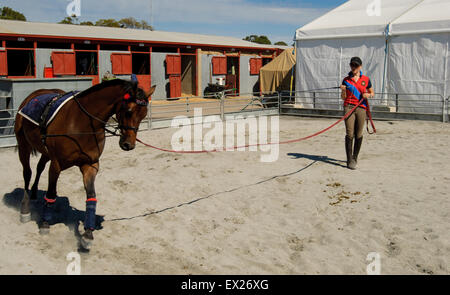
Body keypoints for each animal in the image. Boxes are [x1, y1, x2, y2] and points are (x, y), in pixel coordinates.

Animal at [14, 78, 156, 250]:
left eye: (143, 115)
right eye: (128, 111)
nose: (128, 144)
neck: (82, 123)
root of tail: (34, 94)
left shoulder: (90, 165)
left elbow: (91, 196)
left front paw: (88, 233)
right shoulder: (56, 165)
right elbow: (51, 193)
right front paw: (45, 223)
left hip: (45, 152)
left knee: (39, 167)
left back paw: (34, 193)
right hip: (24, 145)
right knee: (27, 173)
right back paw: (25, 209)